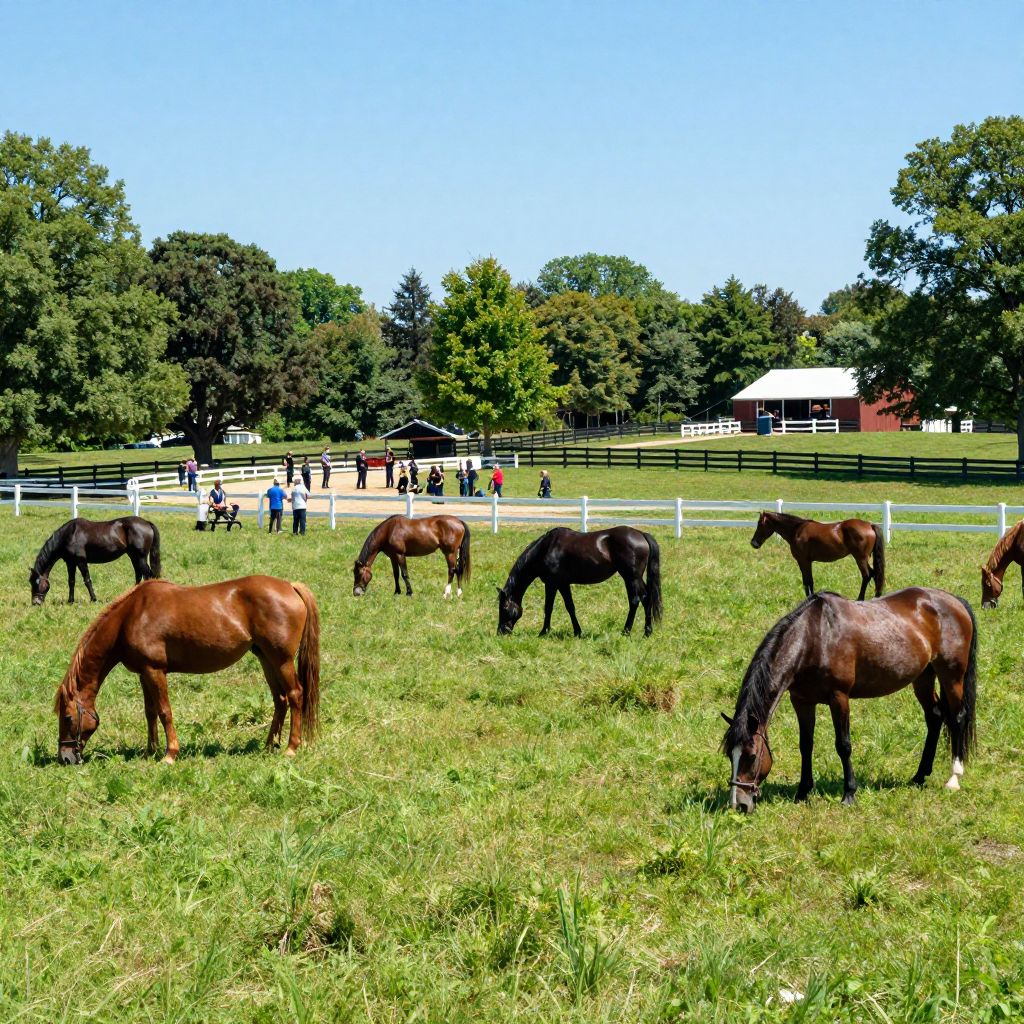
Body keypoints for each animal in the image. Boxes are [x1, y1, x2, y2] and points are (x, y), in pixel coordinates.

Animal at [30, 516, 161, 605]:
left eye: (36, 583)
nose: (35, 603)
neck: (70, 534)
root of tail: (146, 523)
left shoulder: (81, 561)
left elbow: (87, 580)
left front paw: (93, 599)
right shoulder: (70, 562)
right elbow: (71, 581)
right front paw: (70, 601)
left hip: (140, 557)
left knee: (147, 575)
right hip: (133, 556)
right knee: (139, 575)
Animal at [53, 576, 320, 765]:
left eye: (67, 717)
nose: (65, 757)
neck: (132, 616)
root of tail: (290, 586)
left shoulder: (155, 670)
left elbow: (164, 711)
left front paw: (170, 754)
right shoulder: (143, 673)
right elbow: (150, 712)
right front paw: (150, 751)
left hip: (282, 660)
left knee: (295, 695)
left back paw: (291, 748)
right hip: (266, 659)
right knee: (280, 700)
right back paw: (269, 745)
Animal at [497, 526, 662, 637]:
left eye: (504, 608)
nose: (501, 632)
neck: (546, 548)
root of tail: (641, 534)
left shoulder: (552, 584)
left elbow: (548, 607)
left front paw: (543, 632)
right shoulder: (563, 584)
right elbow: (570, 607)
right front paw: (577, 631)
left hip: (632, 577)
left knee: (640, 599)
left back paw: (632, 632)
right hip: (631, 578)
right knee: (642, 599)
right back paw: (642, 632)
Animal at [721, 587, 977, 813]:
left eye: (752, 756)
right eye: (730, 756)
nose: (739, 805)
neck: (814, 637)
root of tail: (955, 601)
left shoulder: (839, 697)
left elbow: (843, 746)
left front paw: (849, 794)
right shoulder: (802, 701)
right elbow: (806, 745)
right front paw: (803, 792)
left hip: (952, 676)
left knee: (957, 718)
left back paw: (954, 778)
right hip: (923, 677)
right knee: (934, 717)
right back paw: (919, 776)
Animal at [750, 510, 885, 600]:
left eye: (760, 524)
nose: (753, 543)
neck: (797, 530)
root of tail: (869, 525)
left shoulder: (803, 561)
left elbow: (807, 581)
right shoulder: (808, 561)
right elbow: (810, 581)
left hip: (860, 558)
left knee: (867, 575)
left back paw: (860, 598)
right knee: (874, 574)